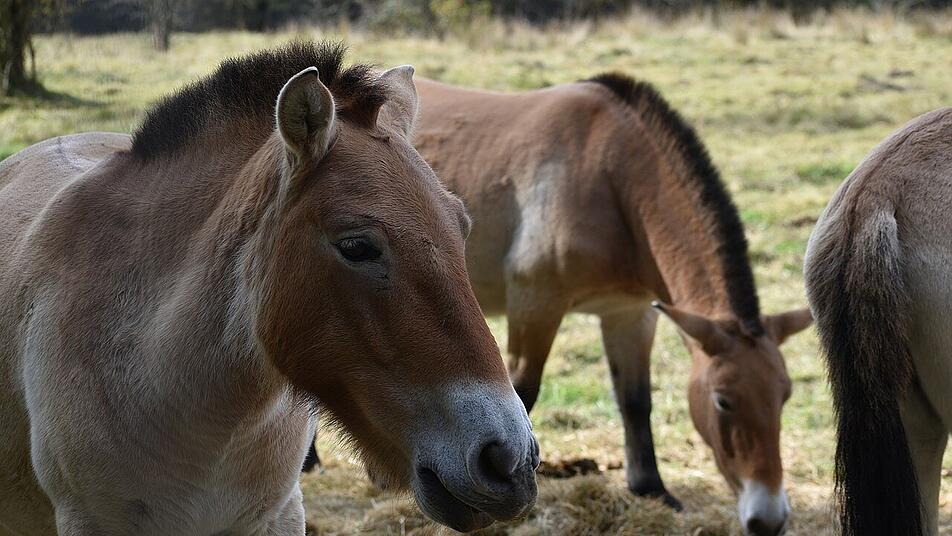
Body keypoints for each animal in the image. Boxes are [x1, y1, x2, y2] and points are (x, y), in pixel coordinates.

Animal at [414, 75, 812, 536]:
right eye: (723, 401)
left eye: (785, 396)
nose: (769, 520)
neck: (611, 179)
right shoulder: (536, 303)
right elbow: (522, 394)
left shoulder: (630, 314)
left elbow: (635, 400)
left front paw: (651, 489)